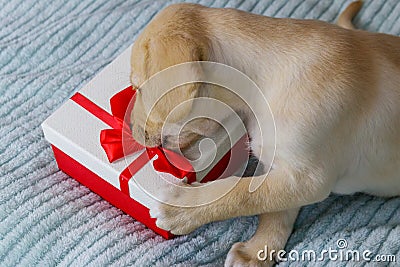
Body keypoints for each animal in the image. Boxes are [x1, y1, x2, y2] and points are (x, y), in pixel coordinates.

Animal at [129, 1, 400, 266]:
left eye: (138, 88)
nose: (130, 129)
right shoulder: (282, 169)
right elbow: (275, 208)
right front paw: (258, 251)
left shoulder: (310, 178)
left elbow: (244, 194)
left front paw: (181, 207)